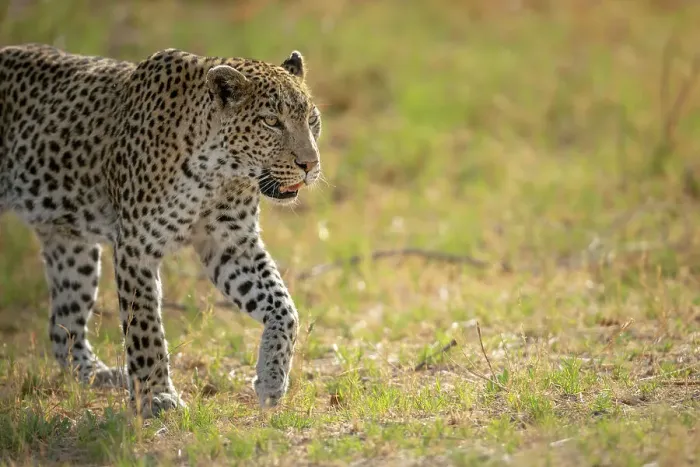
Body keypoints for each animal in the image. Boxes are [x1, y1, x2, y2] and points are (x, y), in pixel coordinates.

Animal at [0, 43, 322, 417]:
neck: (219, 173)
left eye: (312, 120)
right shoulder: (136, 246)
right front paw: (157, 397)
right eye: (272, 122)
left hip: (71, 245)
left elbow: (283, 308)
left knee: (62, 326)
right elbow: (144, 326)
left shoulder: (230, 243)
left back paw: (98, 375)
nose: (310, 165)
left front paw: (271, 380)